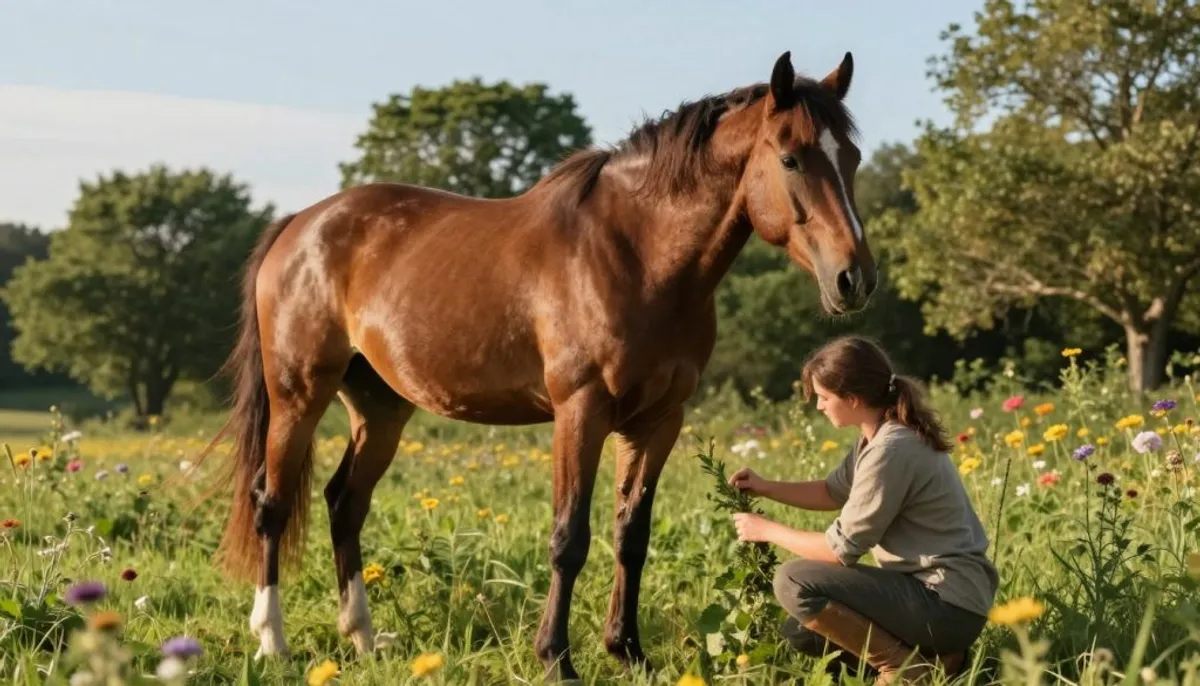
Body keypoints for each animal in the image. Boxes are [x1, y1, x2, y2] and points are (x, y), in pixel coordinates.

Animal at [202, 49, 877, 680]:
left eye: (851, 159)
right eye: (790, 159)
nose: (855, 279)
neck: (638, 254)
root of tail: (301, 224)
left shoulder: (658, 421)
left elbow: (632, 536)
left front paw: (628, 652)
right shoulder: (580, 411)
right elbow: (569, 537)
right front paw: (557, 658)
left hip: (381, 409)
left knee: (346, 502)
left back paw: (363, 639)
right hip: (298, 395)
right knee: (272, 503)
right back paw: (273, 642)